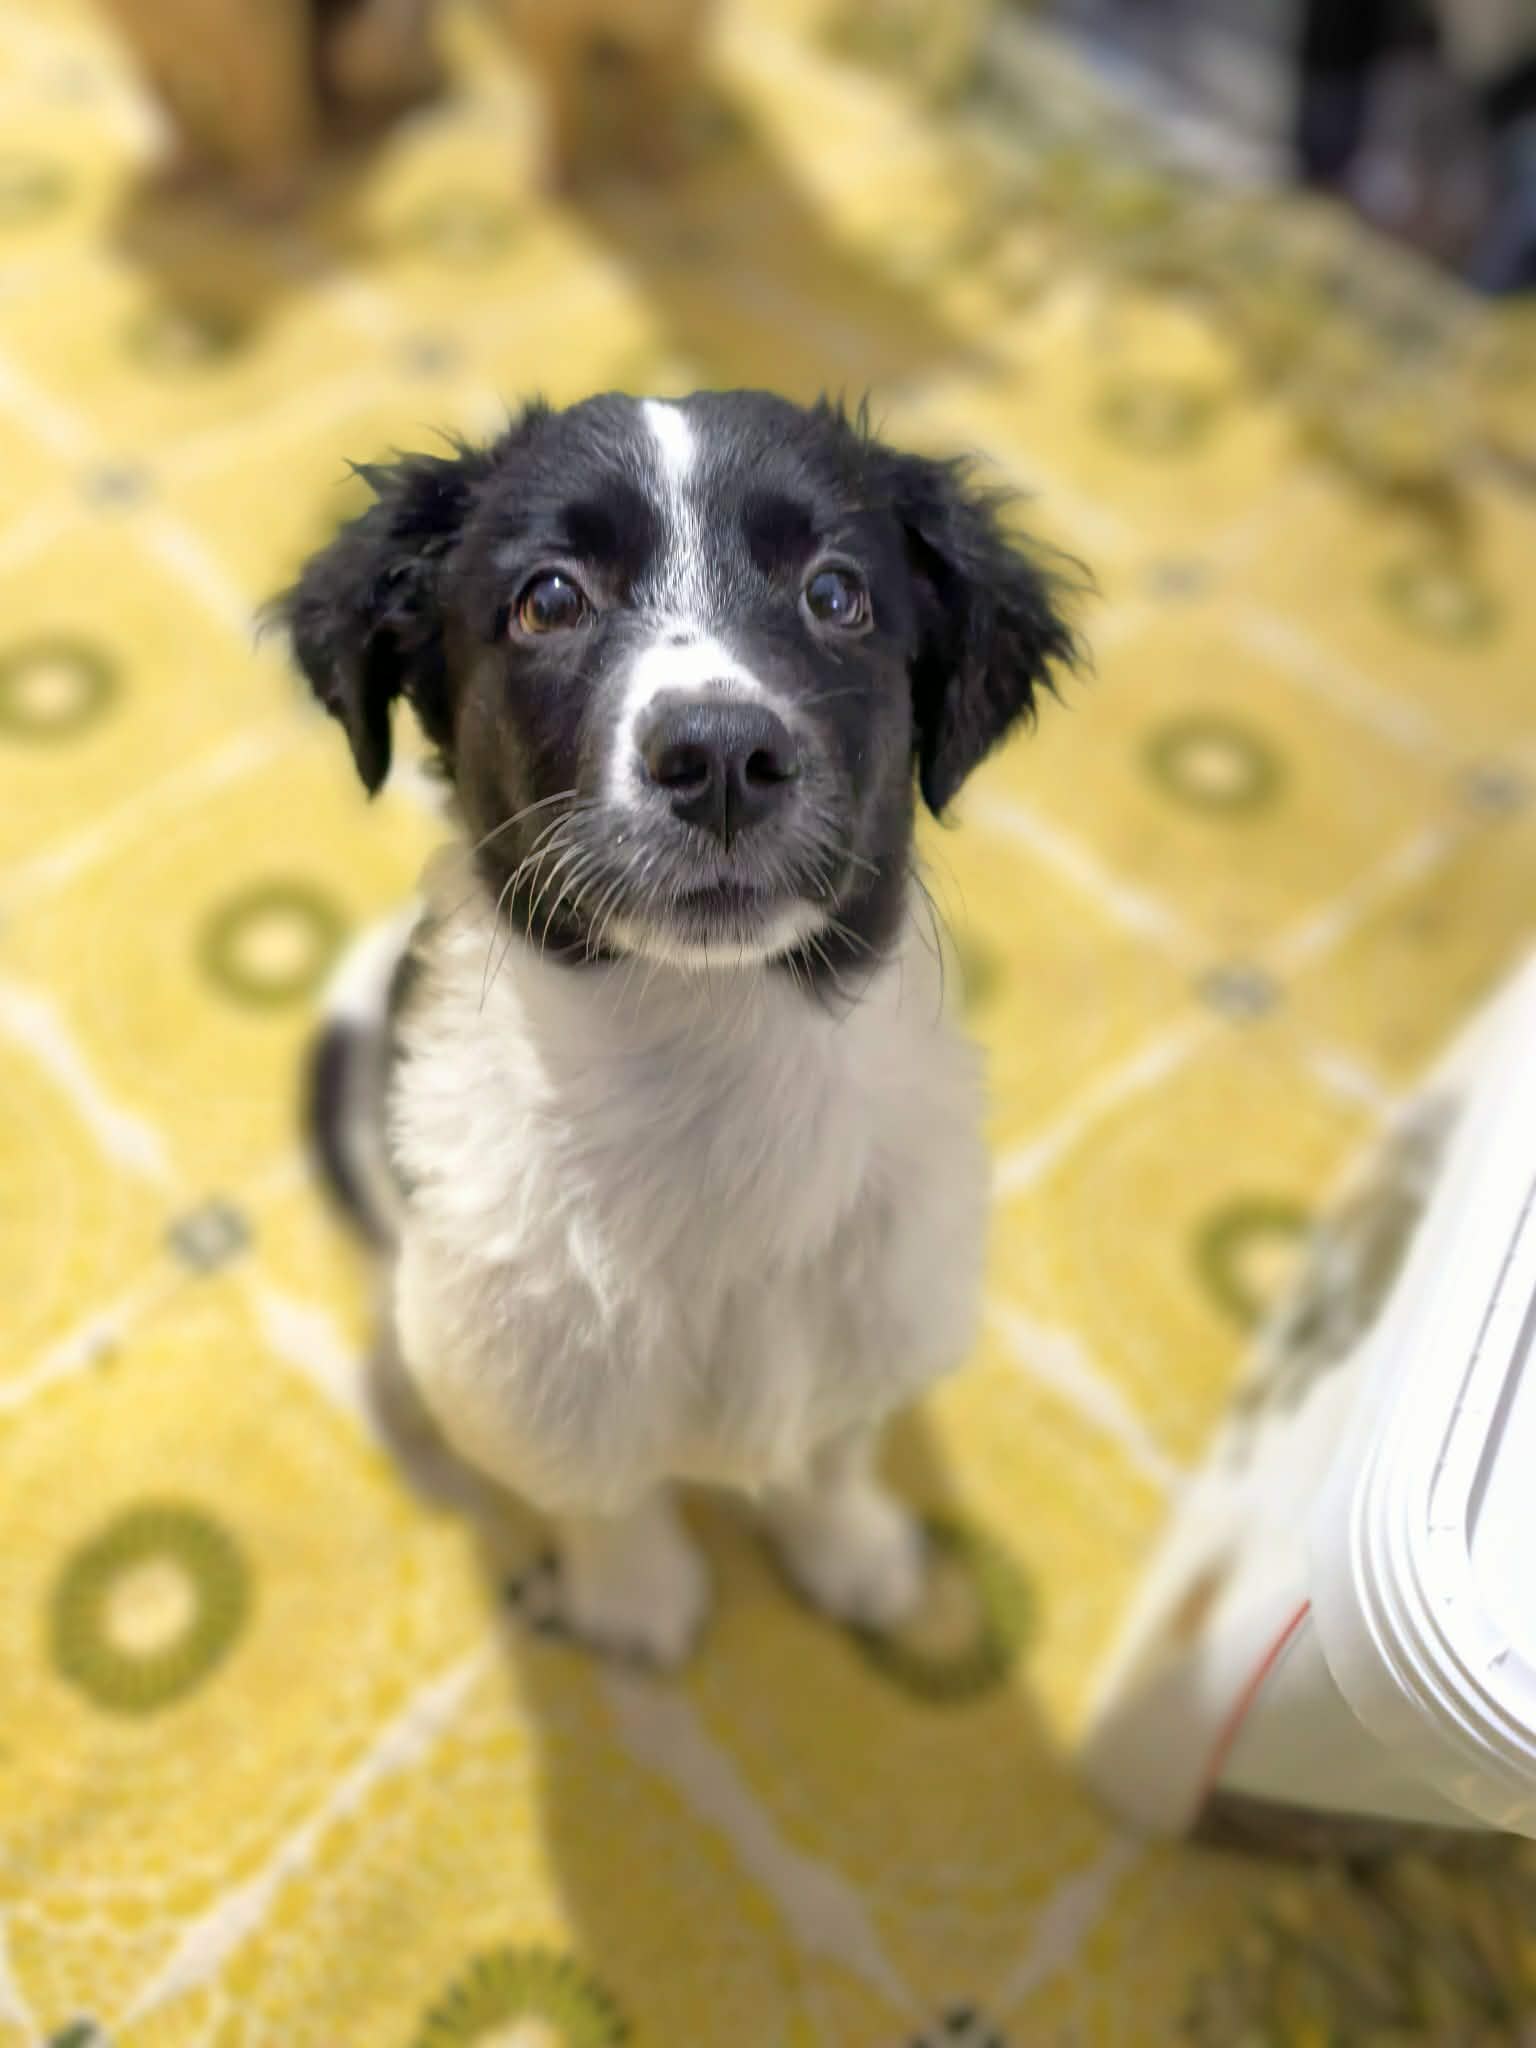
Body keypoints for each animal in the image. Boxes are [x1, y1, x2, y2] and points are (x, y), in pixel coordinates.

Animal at [280, 389, 1079, 1666]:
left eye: (835, 593)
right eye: (549, 596)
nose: (719, 758)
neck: (712, 1053)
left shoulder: (885, 1309)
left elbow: (832, 1453)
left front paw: (852, 1552)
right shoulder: (537, 1368)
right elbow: (602, 1490)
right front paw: (635, 1599)